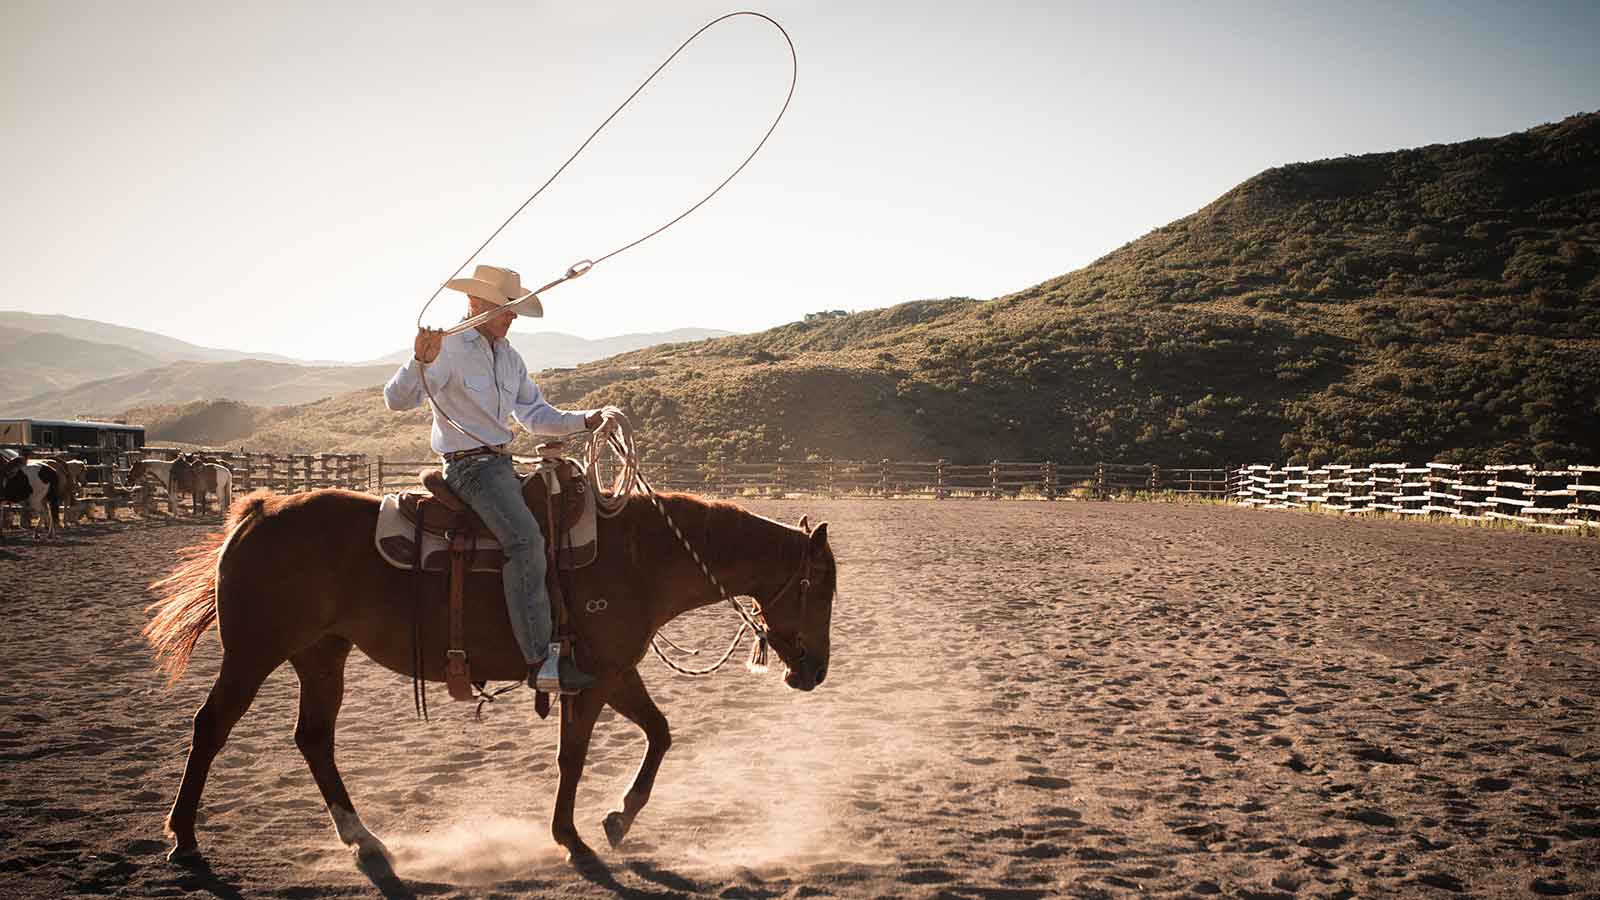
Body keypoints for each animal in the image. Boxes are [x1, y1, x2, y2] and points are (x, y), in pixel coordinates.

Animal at [145, 486, 838, 864]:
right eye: (821, 586)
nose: (815, 672)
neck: (645, 557)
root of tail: (258, 511)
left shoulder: (614, 673)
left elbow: (660, 733)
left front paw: (619, 818)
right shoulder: (593, 679)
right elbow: (573, 756)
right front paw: (570, 835)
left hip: (321, 654)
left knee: (314, 738)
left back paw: (364, 837)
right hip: (254, 652)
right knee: (210, 728)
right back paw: (184, 837)